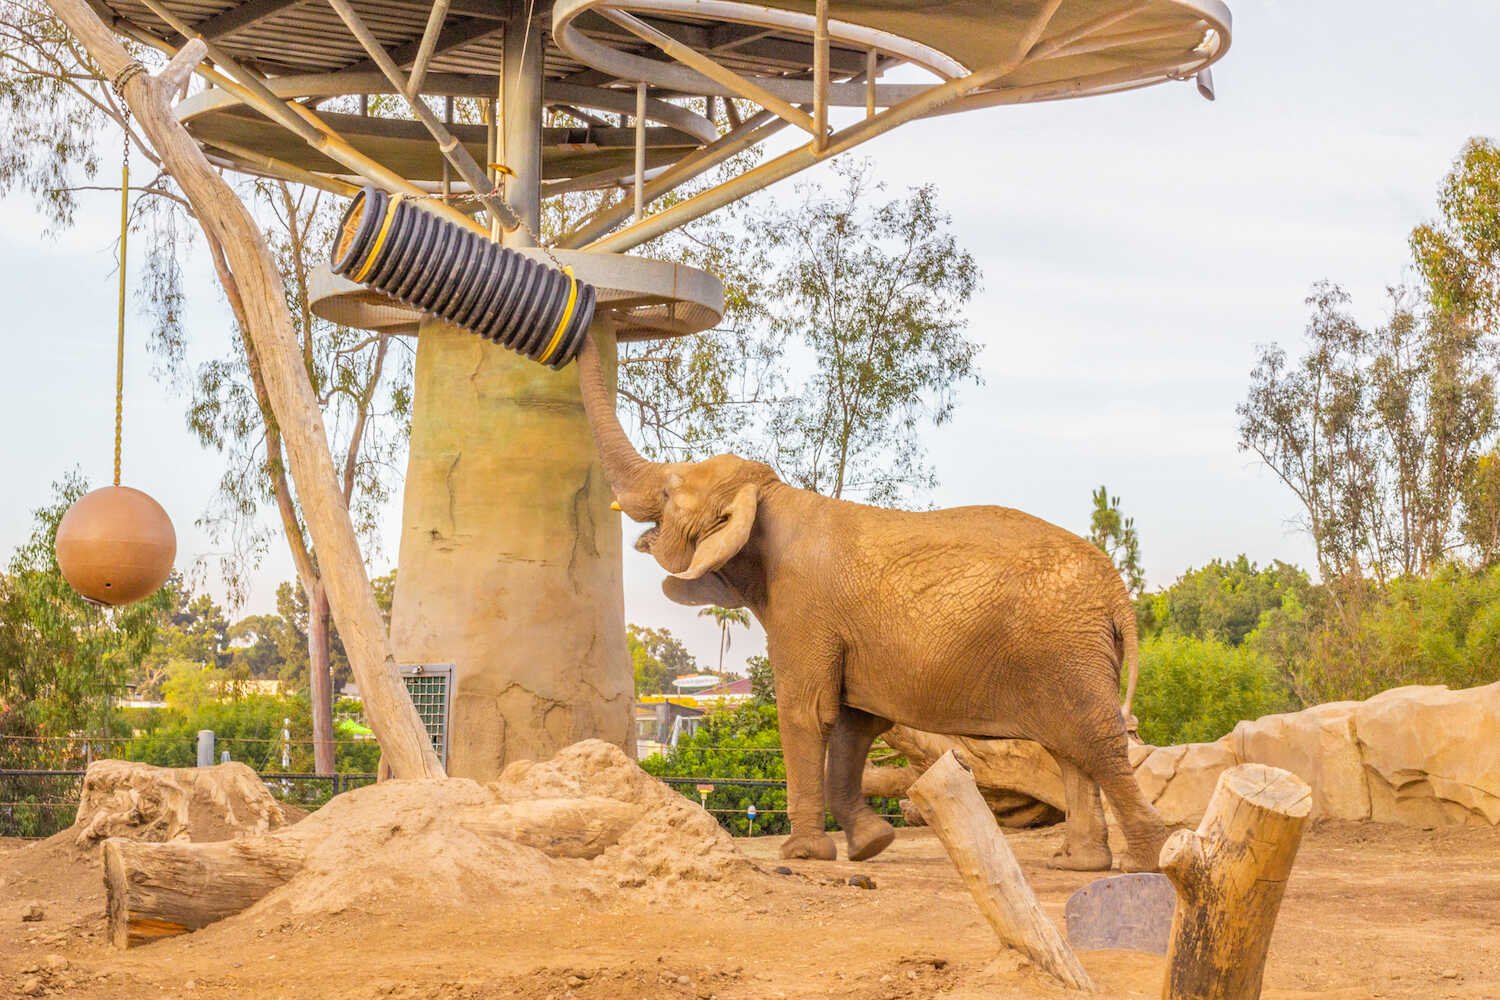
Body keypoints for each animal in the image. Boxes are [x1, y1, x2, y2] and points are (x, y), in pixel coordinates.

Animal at [573, 340, 1170, 869]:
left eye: (669, 493)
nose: (581, 300)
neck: (770, 497)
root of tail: (1119, 595)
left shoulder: (803, 608)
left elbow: (806, 711)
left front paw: (804, 855)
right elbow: (854, 723)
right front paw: (872, 845)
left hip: (1066, 647)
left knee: (1095, 741)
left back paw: (1144, 861)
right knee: (1072, 749)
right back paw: (1079, 865)